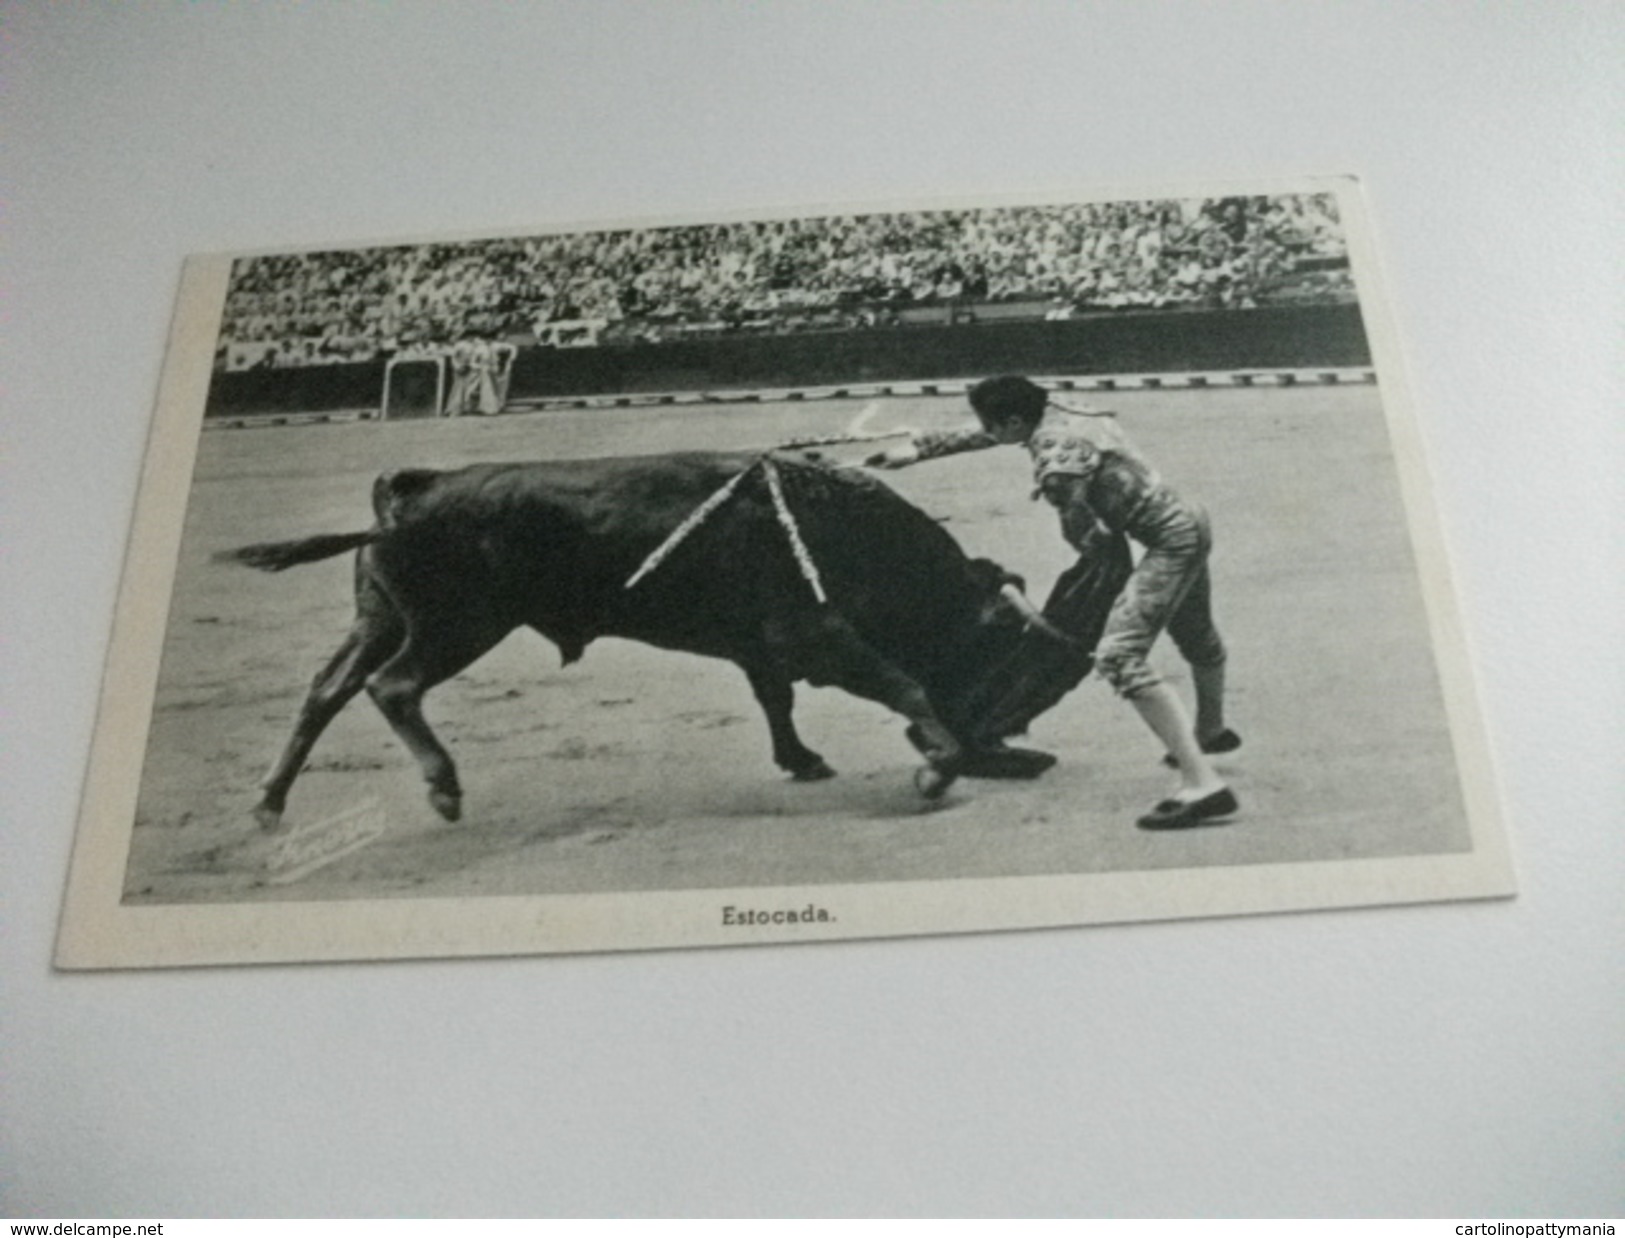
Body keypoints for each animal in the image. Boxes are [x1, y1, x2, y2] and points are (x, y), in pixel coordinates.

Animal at [219, 445, 1131, 828]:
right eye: (1004, 656)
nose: (1015, 747)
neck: (836, 524)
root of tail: (416, 487)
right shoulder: (812, 635)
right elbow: (898, 682)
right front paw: (935, 768)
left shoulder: (765, 647)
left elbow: (774, 701)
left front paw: (802, 760)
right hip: (457, 625)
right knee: (392, 687)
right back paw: (443, 789)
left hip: (377, 618)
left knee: (326, 690)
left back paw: (268, 804)